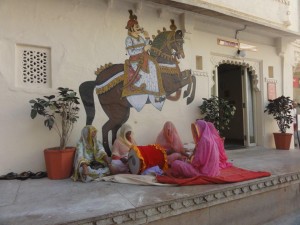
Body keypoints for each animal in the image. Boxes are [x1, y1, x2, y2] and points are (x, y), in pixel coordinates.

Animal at [79, 27, 196, 156]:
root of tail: (97, 81)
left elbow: (191, 75)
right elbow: (190, 79)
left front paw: (187, 95)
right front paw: (188, 96)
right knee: (105, 128)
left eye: (183, 42)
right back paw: (109, 153)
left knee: (114, 129)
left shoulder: (178, 78)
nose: (181, 55)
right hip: (115, 112)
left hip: (122, 113)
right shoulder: (172, 86)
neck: (163, 63)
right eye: (178, 42)